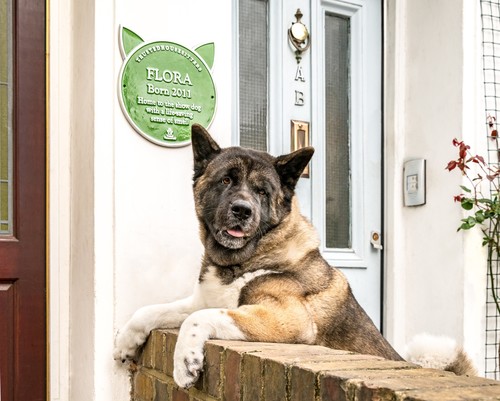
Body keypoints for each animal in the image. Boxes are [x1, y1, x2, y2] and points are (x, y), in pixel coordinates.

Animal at [114, 123, 476, 386]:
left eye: (262, 192)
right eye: (226, 180)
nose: (242, 210)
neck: (240, 262)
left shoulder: (286, 318)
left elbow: (199, 317)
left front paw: (185, 362)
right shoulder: (202, 299)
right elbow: (150, 311)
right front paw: (124, 343)